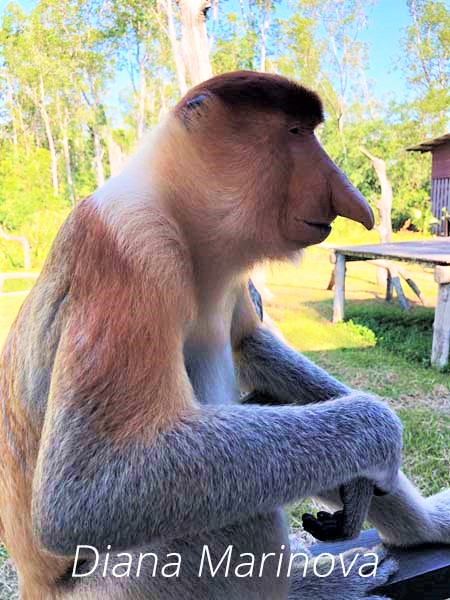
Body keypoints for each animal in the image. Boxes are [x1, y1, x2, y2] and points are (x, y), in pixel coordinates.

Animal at [0, 71, 450, 600]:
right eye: (295, 133)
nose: (352, 203)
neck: (178, 210)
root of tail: (37, 588)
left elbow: (248, 341)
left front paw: (372, 488)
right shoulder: (132, 249)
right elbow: (82, 493)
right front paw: (380, 433)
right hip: (130, 584)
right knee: (235, 513)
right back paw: (317, 582)